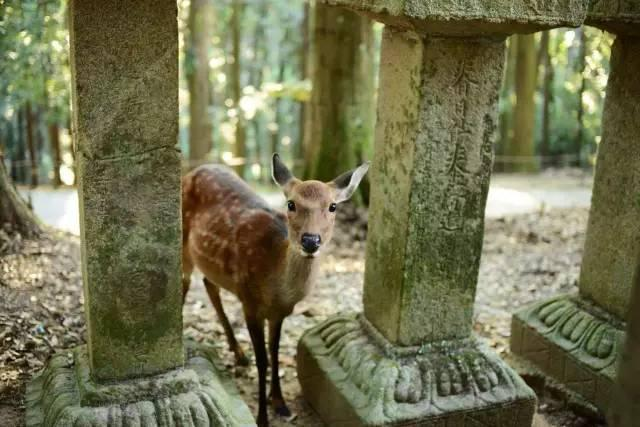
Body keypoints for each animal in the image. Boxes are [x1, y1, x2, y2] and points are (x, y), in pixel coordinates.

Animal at [182, 155, 368, 427]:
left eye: (333, 206)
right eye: (291, 203)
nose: (310, 241)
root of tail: (194, 170)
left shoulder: (280, 312)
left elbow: (276, 352)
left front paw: (280, 403)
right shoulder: (249, 302)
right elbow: (263, 360)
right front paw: (262, 416)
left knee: (208, 284)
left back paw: (238, 353)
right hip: (183, 242)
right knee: (185, 282)